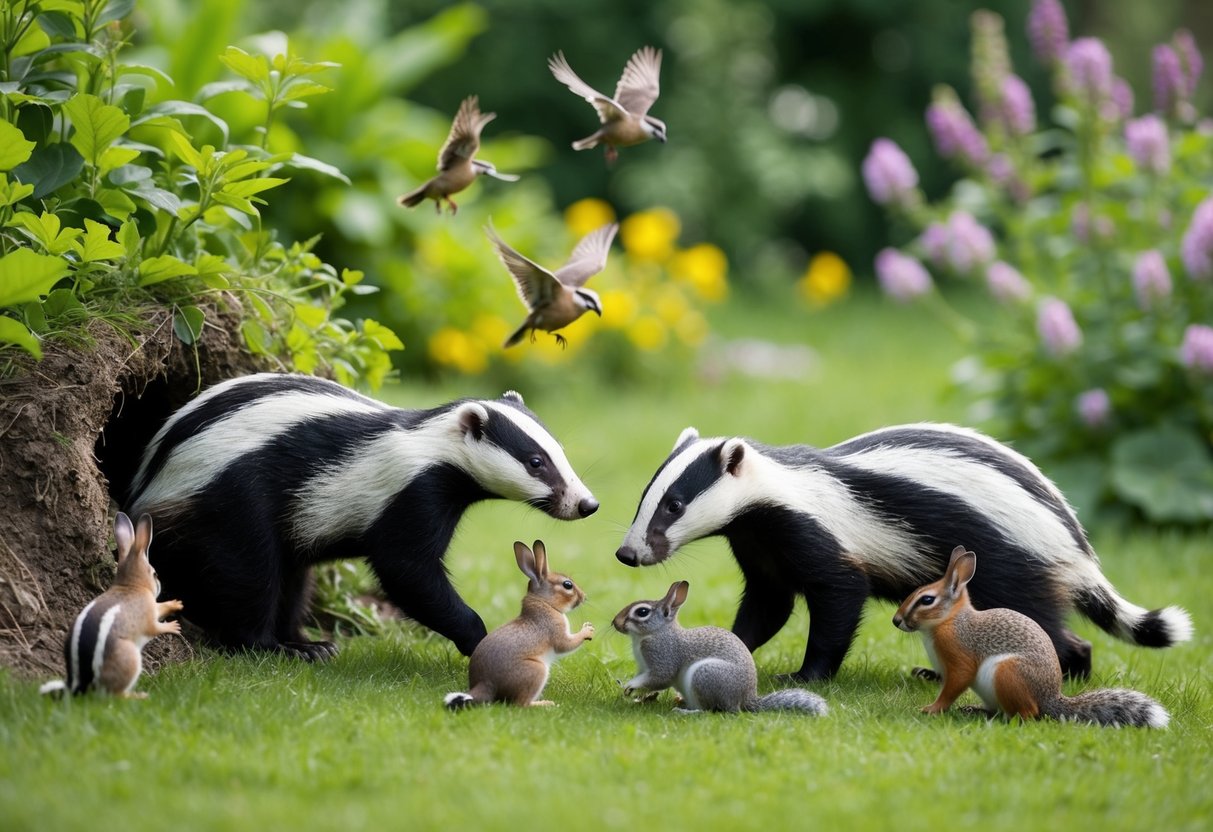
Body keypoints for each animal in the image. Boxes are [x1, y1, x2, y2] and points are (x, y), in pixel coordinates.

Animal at [40, 512, 183, 698]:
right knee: (117, 695)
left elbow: (161, 608)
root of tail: (84, 686)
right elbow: (157, 626)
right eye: (155, 574)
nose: (159, 585)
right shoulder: (149, 616)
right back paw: (140, 696)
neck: (130, 585)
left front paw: (176, 603)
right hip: (131, 660)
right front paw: (174, 626)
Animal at [444, 540, 594, 708]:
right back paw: (544, 704)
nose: (584, 597)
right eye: (567, 585)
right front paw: (587, 630)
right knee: (521, 703)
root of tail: (486, 685)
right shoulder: (555, 632)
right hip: (537, 670)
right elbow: (566, 644)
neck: (545, 603)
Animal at [612, 580, 828, 715]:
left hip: (706, 676)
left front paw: (631, 686)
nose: (615, 622)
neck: (653, 633)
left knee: (711, 711)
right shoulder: (643, 666)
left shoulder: (663, 654)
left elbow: (660, 677)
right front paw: (628, 688)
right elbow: (644, 676)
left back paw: (686, 712)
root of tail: (745, 699)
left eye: (642, 612)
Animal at [893, 545, 1170, 728]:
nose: (896, 620)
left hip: (1006, 673)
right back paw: (976, 711)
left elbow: (952, 687)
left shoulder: (960, 659)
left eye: (927, 600)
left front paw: (933, 708)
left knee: (1029, 714)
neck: (950, 620)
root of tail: (1050, 699)